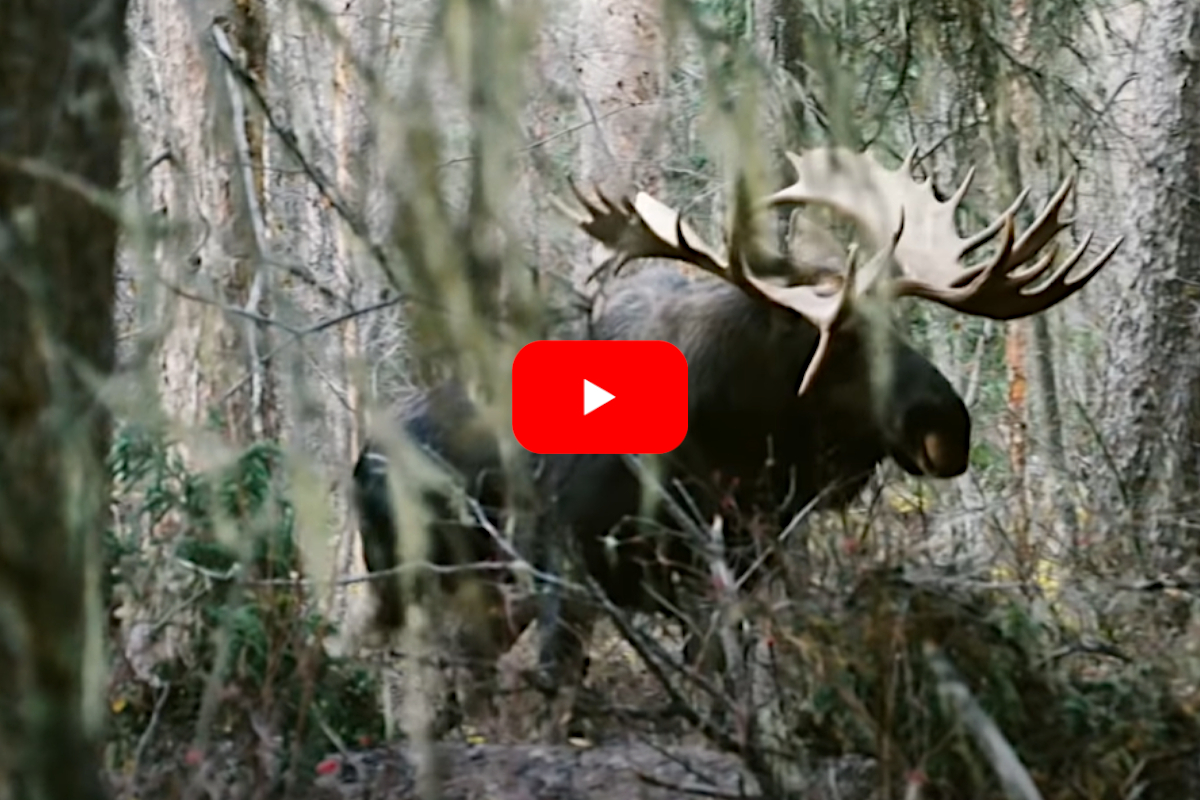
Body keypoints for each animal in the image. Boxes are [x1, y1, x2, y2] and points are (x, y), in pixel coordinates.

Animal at [351, 145, 1122, 738]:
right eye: (839, 345)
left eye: (896, 329)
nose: (948, 427)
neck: (730, 443)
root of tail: (361, 457)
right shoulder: (567, 561)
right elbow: (561, 679)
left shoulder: (732, 562)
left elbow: (714, 671)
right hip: (412, 576)